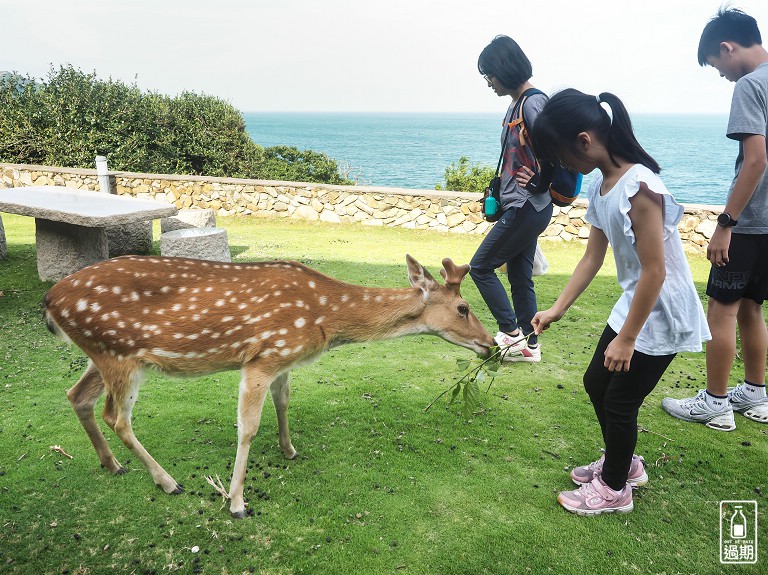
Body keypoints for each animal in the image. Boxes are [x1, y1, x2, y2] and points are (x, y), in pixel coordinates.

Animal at [43, 254, 492, 520]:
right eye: (463, 308)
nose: (490, 344)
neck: (324, 318)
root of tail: (49, 302)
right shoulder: (262, 356)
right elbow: (247, 428)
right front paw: (237, 504)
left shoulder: (284, 358)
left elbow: (284, 402)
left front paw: (289, 450)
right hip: (119, 355)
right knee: (117, 417)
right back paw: (167, 482)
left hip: (103, 354)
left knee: (76, 396)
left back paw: (112, 464)